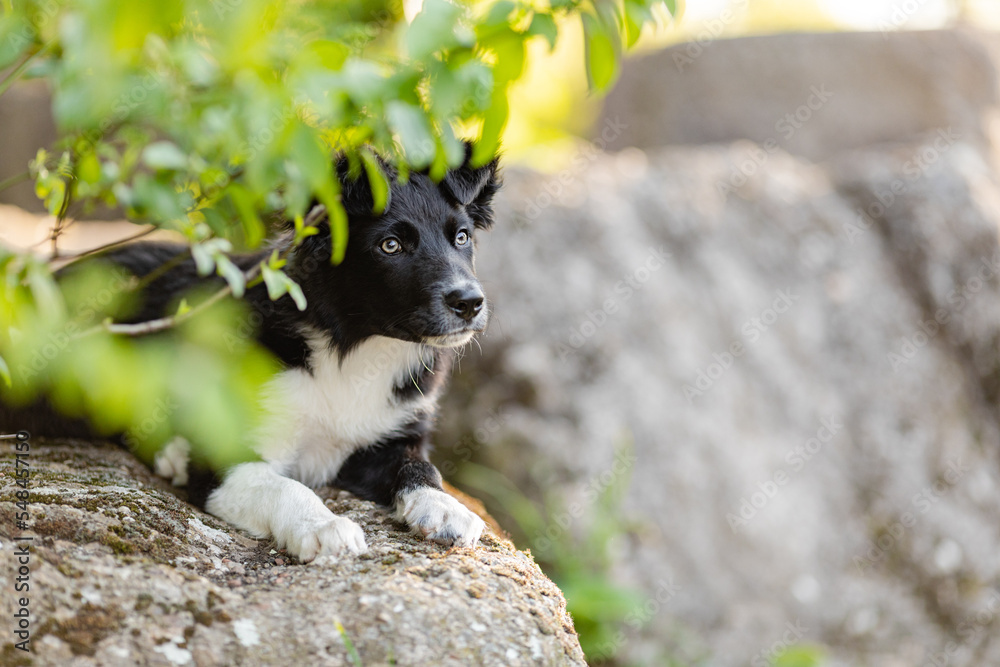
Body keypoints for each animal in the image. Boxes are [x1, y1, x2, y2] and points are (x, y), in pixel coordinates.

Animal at [86, 153, 500, 564]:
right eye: (391, 245)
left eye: (461, 237)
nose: (469, 303)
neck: (353, 349)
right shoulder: (230, 454)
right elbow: (284, 486)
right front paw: (322, 525)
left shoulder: (394, 436)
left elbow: (422, 468)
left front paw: (444, 507)